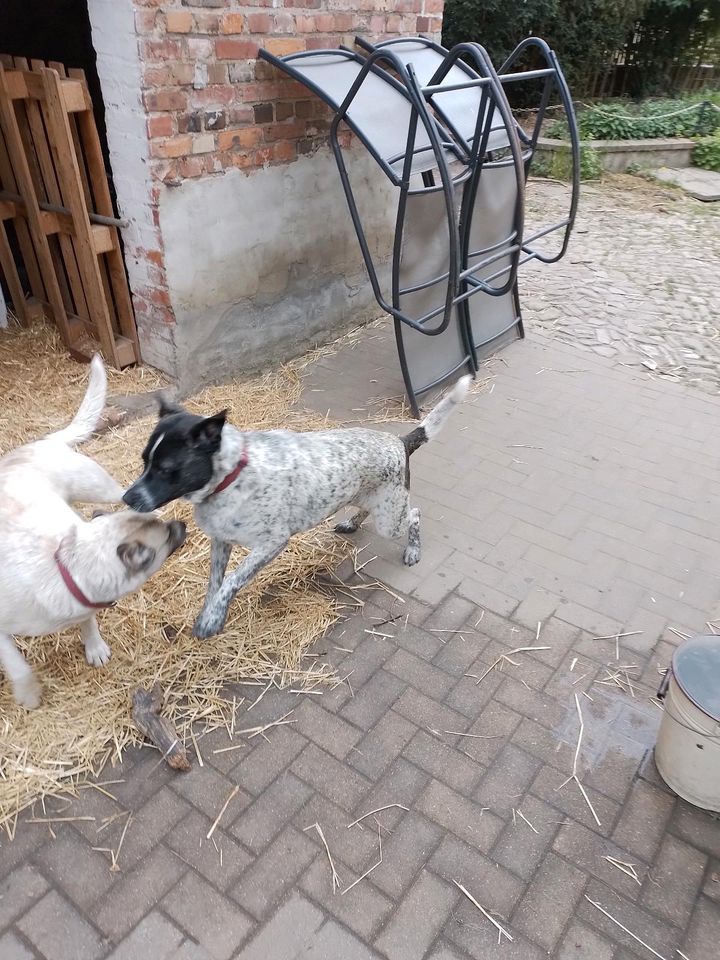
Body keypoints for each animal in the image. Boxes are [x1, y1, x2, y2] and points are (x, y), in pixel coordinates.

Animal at [0, 356, 186, 708]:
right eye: (167, 537)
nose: (181, 526)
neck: (67, 562)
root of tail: (44, 442)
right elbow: (19, 666)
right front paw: (29, 695)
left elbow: (87, 621)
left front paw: (94, 645)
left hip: (104, 490)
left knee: (130, 497)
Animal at [124, 376, 472, 636]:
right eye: (144, 461)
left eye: (166, 469)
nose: (127, 498)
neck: (231, 476)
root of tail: (399, 442)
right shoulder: (221, 542)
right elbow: (215, 584)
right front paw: (211, 613)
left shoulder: (273, 542)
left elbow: (232, 580)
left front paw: (212, 618)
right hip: (367, 496)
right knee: (370, 509)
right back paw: (352, 522)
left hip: (391, 518)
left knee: (414, 514)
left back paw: (412, 549)